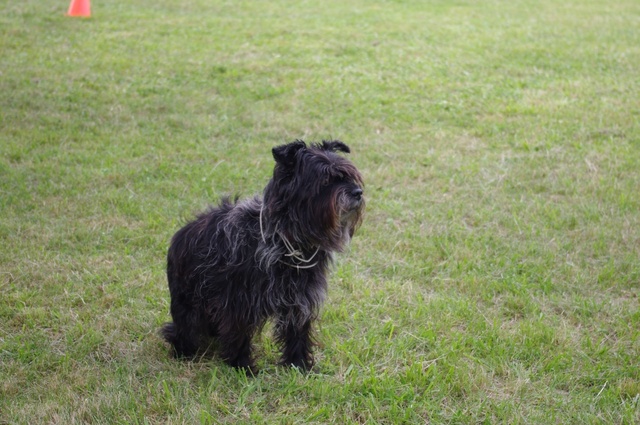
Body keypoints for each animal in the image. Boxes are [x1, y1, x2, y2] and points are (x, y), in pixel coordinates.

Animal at [162, 140, 364, 372]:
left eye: (350, 177)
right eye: (326, 180)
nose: (358, 192)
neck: (286, 239)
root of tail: (180, 235)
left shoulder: (301, 297)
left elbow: (297, 332)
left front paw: (299, 365)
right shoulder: (239, 300)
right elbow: (238, 332)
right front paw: (241, 366)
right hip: (190, 303)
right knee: (183, 328)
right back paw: (183, 350)